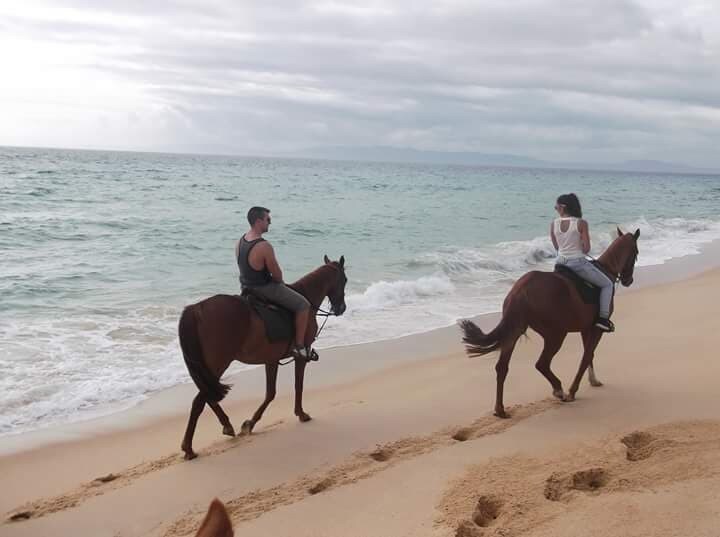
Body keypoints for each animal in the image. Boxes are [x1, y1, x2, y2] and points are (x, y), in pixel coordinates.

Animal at [180, 254, 348, 456]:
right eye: (345, 280)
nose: (341, 308)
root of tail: (196, 309)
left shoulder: (271, 359)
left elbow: (270, 393)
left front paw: (250, 424)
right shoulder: (300, 356)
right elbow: (297, 386)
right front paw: (301, 414)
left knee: (208, 396)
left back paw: (226, 426)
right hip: (217, 364)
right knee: (201, 400)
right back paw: (189, 448)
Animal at [458, 228, 640, 416]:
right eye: (636, 253)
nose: (629, 281)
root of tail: (520, 289)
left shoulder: (586, 328)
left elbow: (589, 355)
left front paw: (593, 380)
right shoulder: (597, 329)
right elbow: (586, 356)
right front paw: (573, 391)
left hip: (514, 331)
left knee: (502, 368)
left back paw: (500, 410)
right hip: (556, 335)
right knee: (541, 364)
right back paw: (559, 390)